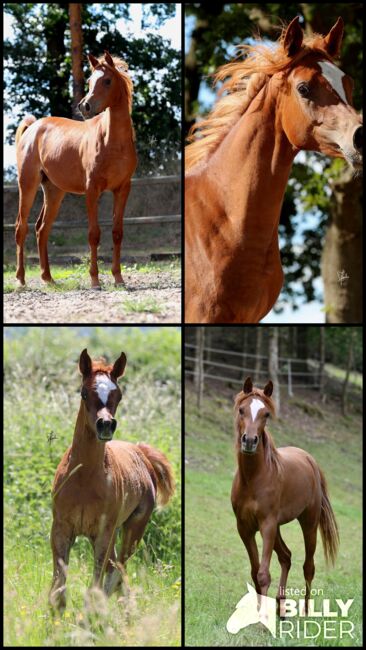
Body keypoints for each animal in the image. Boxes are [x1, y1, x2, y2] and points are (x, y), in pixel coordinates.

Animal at [14, 53, 137, 288]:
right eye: (89, 81)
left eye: (107, 80)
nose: (85, 106)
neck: (113, 141)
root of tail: (32, 128)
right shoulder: (92, 190)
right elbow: (93, 234)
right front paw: (95, 280)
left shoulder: (123, 189)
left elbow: (117, 233)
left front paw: (118, 278)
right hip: (28, 184)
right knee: (21, 227)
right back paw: (21, 279)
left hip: (54, 191)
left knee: (42, 229)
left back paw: (48, 278)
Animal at [49, 346, 174, 612]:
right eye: (84, 392)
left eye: (119, 395)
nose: (105, 425)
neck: (84, 479)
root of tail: (141, 452)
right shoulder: (61, 529)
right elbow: (58, 588)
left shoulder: (103, 534)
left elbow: (96, 583)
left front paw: (89, 615)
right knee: (116, 569)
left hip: (132, 528)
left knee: (119, 569)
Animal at [233, 374, 338, 612]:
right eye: (242, 410)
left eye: (266, 414)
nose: (249, 441)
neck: (253, 479)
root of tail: (310, 460)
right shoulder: (245, 528)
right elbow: (255, 572)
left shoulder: (267, 525)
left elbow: (263, 574)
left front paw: (263, 617)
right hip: (278, 527)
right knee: (286, 557)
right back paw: (281, 606)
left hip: (308, 523)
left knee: (308, 566)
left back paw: (306, 611)